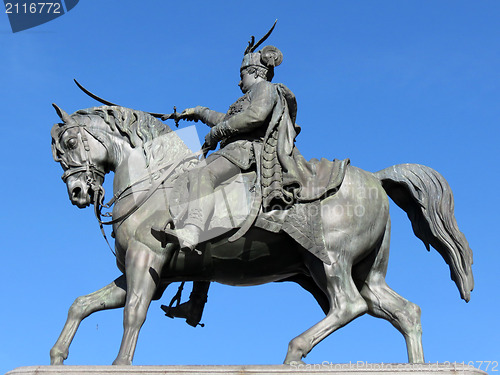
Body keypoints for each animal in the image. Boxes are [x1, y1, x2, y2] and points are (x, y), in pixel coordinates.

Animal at [49, 103, 472, 368]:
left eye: (69, 143)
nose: (77, 193)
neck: (156, 182)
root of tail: (376, 178)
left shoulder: (145, 259)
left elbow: (133, 313)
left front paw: (120, 363)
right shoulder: (153, 273)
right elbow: (81, 304)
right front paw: (57, 356)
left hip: (329, 261)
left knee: (350, 305)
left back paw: (294, 352)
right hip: (364, 270)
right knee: (403, 311)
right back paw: (417, 364)